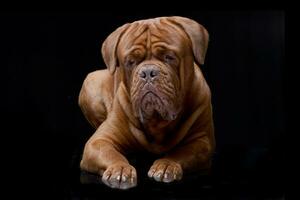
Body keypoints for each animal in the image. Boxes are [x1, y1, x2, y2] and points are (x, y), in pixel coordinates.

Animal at [79, 16, 216, 190]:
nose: (148, 72)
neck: (156, 121)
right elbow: (109, 153)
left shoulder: (202, 142)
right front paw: (119, 169)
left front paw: (166, 165)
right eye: (130, 61)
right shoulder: (99, 141)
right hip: (90, 82)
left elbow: (181, 153)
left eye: (169, 57)